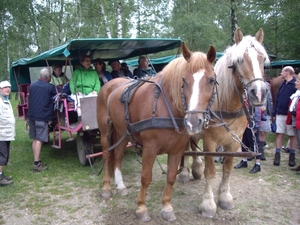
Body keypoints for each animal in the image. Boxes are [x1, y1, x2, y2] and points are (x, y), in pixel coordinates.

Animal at [97, 42, 217, 221]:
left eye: (211, 80)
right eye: (184, 80)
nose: (193, 121)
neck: (166, 106)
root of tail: (109, 85)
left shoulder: (177, 150)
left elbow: (171, 177)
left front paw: (167, 207)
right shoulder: (149, 148)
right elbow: (146, 178)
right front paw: (141, 208)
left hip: (123, 133)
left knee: (117, 155)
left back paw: (121, 185)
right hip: (105, 132)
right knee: (106, 155)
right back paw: (106, 188)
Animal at [178, 27, 270, 218]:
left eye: (263, 59)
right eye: (240, 60)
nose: (259, 94)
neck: (226, 106)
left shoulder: (234, 142)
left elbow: (227, 168)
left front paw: (225, 197)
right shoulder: (210, 142)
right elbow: (210, 171)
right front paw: (208, 203)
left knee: (193, 147)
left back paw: (195, 169)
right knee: (186, 149)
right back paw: (184, 173)